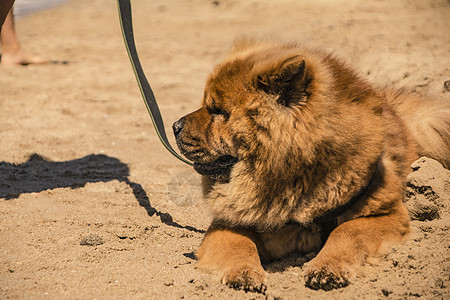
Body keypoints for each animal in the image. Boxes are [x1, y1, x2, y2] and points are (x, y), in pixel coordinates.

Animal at [172, 38, 450, 292]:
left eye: (218, 111)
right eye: (207, 105)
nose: (174, 126)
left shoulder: (386, 214)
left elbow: (347, 231)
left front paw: (327, 268)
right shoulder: (229, 224)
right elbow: (239, 243)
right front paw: (243, 273)